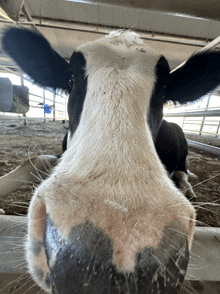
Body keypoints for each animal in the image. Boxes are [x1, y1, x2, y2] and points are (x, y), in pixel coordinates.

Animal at [2, 28, 220, 294]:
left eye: (165, 89)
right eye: (71, 80)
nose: (99, 271)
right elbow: (34, 160)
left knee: (182, 172)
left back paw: (188, 188)